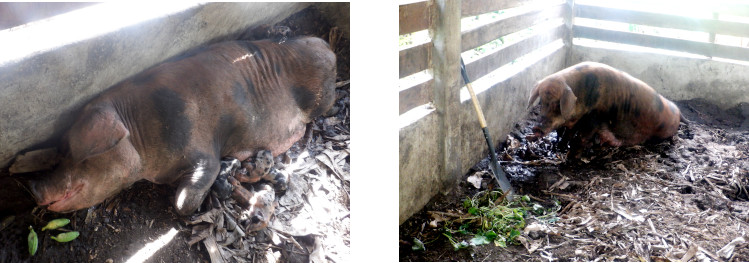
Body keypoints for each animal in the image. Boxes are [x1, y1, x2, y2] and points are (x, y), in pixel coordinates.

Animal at [21, 36, 336, 217]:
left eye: (73, 151)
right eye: (59, 150)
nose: (33, 188)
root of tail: (328, 46)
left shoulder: (203, 149)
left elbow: (183, 202)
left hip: (321, 101)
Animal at [528, 61, 680, 148]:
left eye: (557, 105)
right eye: (542, 102)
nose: (536, 127)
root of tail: (678, 112)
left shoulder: (594, 117)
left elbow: (581, 136)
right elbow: (567, 134)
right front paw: (560, 147)